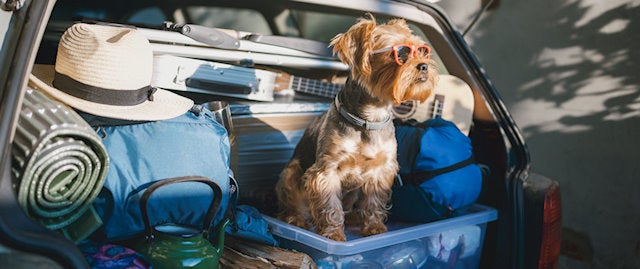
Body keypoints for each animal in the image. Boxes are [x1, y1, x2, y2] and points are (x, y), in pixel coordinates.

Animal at [276, 14, 440, 241]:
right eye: (400, 53)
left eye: (422, 51)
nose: (424, 66)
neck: (370, 118)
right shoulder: (327, 170)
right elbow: (330, 205)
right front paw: (333, 234)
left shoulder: (381, 169)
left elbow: (373, 200)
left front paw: (374, 227)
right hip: (290, 172)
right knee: (292, 202)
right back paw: (297, 218)